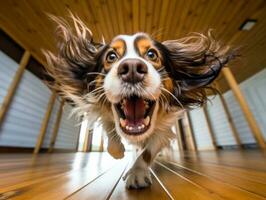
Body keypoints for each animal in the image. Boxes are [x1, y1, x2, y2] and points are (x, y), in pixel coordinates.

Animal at [44, 14, 237, 189]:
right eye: (111, 56)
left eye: (152, 54)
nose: (131, 69)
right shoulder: (106, 115)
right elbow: (111, 131)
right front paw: (118, 152)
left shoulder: (164, 128)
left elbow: (148, 151)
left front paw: (137, 172)